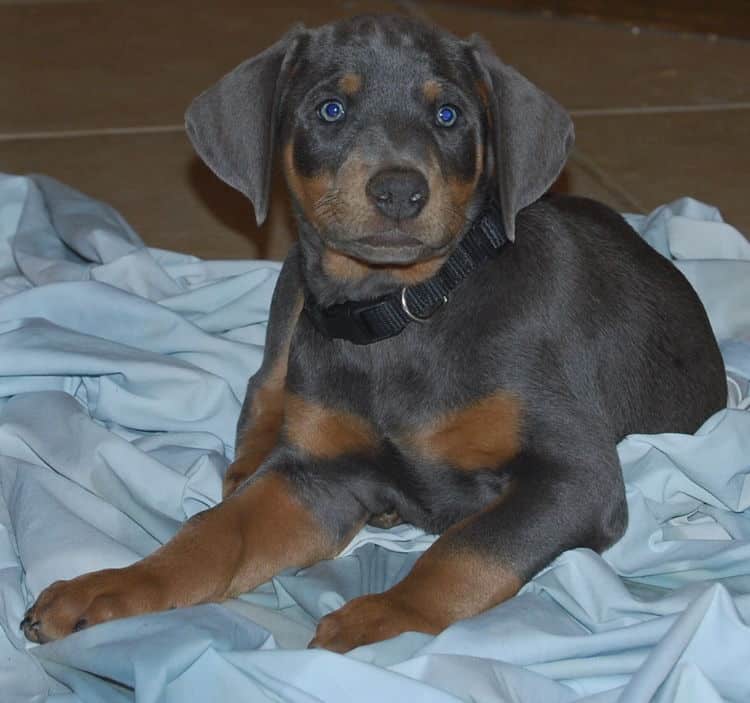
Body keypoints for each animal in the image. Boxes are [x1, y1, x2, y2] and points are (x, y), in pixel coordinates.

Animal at [25, 13, 728, 652]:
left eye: (448, 115)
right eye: (330, 110)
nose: (398, 191)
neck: (405, 312)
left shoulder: (575, 474)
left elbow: (467, 549)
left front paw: (382, 618)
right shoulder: (314, 478)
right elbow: (217, 534)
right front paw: (111, 584)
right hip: (292, 289)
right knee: (264, 385)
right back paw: (245, 467)